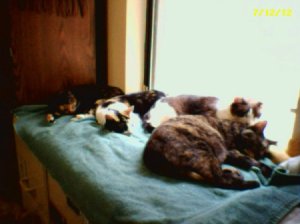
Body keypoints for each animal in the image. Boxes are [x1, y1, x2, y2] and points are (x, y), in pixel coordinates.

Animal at [143, 114, 276, 190]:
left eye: (263, 153)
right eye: (258, 146)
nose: (259, 155)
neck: (236, 130)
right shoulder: (232, 151)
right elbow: (252, 161)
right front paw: (270, 170)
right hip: (205, 149)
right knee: (217, 179)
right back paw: (250, 181)